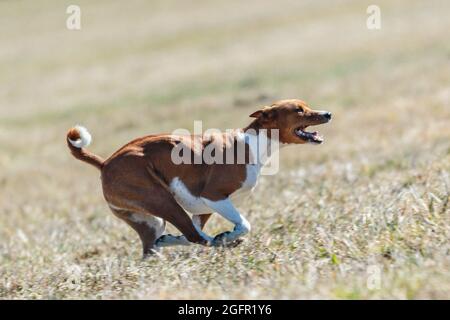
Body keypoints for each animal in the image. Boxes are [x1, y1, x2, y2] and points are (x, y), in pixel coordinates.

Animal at [68, 99, 332, 256]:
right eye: (299, 110)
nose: (328, 113)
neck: (253, 144)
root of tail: (105, 163)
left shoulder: (203, 208)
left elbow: (193, 232)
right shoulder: (214, 197)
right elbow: (243, 224)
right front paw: (228, 235)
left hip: (152, 220)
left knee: (166, 241)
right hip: (163, 201)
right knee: (196, 237)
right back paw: (223, 242)